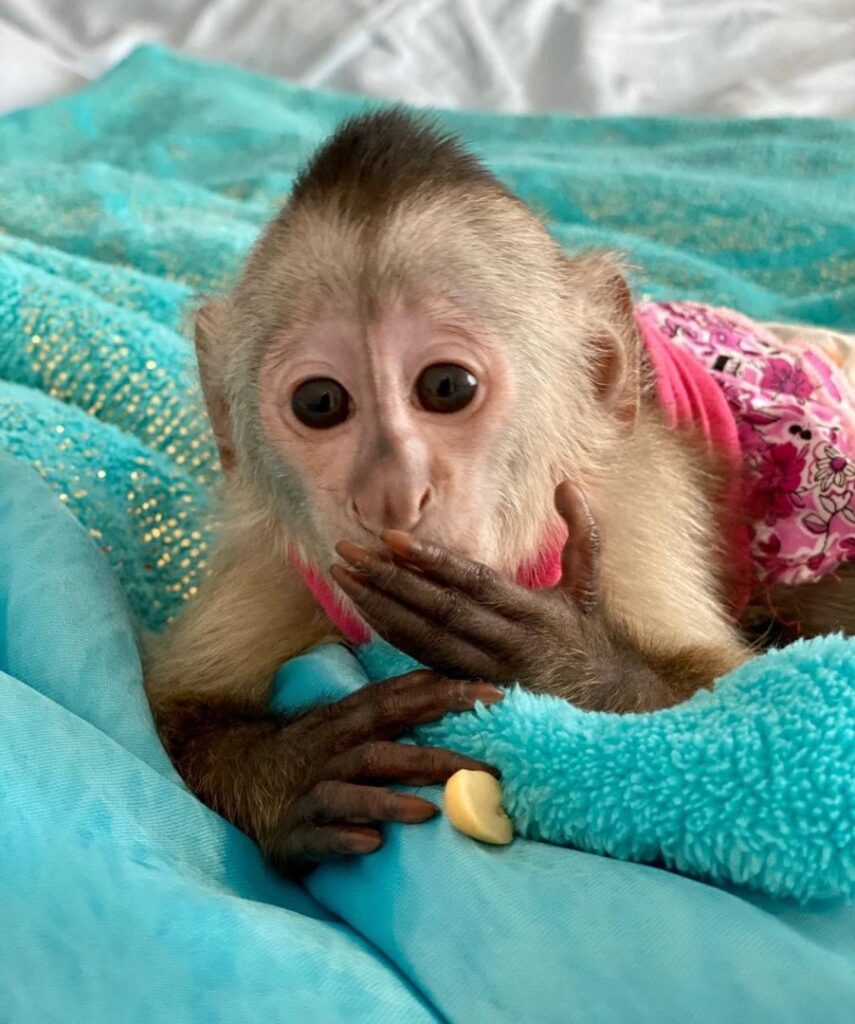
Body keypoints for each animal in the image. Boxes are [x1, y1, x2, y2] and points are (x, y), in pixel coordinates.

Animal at [144, 108, 855, 876]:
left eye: (445, 387)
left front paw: (549, 654)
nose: (392, 493)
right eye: (320, 402)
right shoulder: (277, 561)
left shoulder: (635, 500)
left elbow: (746, 715)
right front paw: (304, 764)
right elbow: (169, 707)